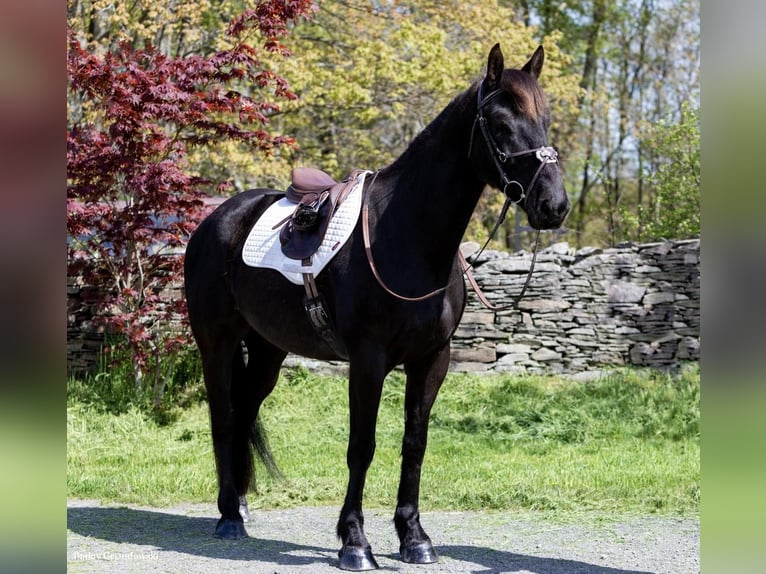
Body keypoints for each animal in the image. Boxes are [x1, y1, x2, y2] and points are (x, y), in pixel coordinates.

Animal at [184, 44, 568, 572]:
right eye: (501, 124)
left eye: (545, 120)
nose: (554, 205)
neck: (407, 236)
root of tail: (215, 220)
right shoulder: (367, 360)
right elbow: (361, 446)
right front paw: (354, 542)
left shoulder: (432, 359)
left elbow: (415, 443)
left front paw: (414, 537)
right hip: (217, 343)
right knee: (223, 415)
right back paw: (227, 516)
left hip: (267, 351)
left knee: (243, 412)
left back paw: (240, 505)